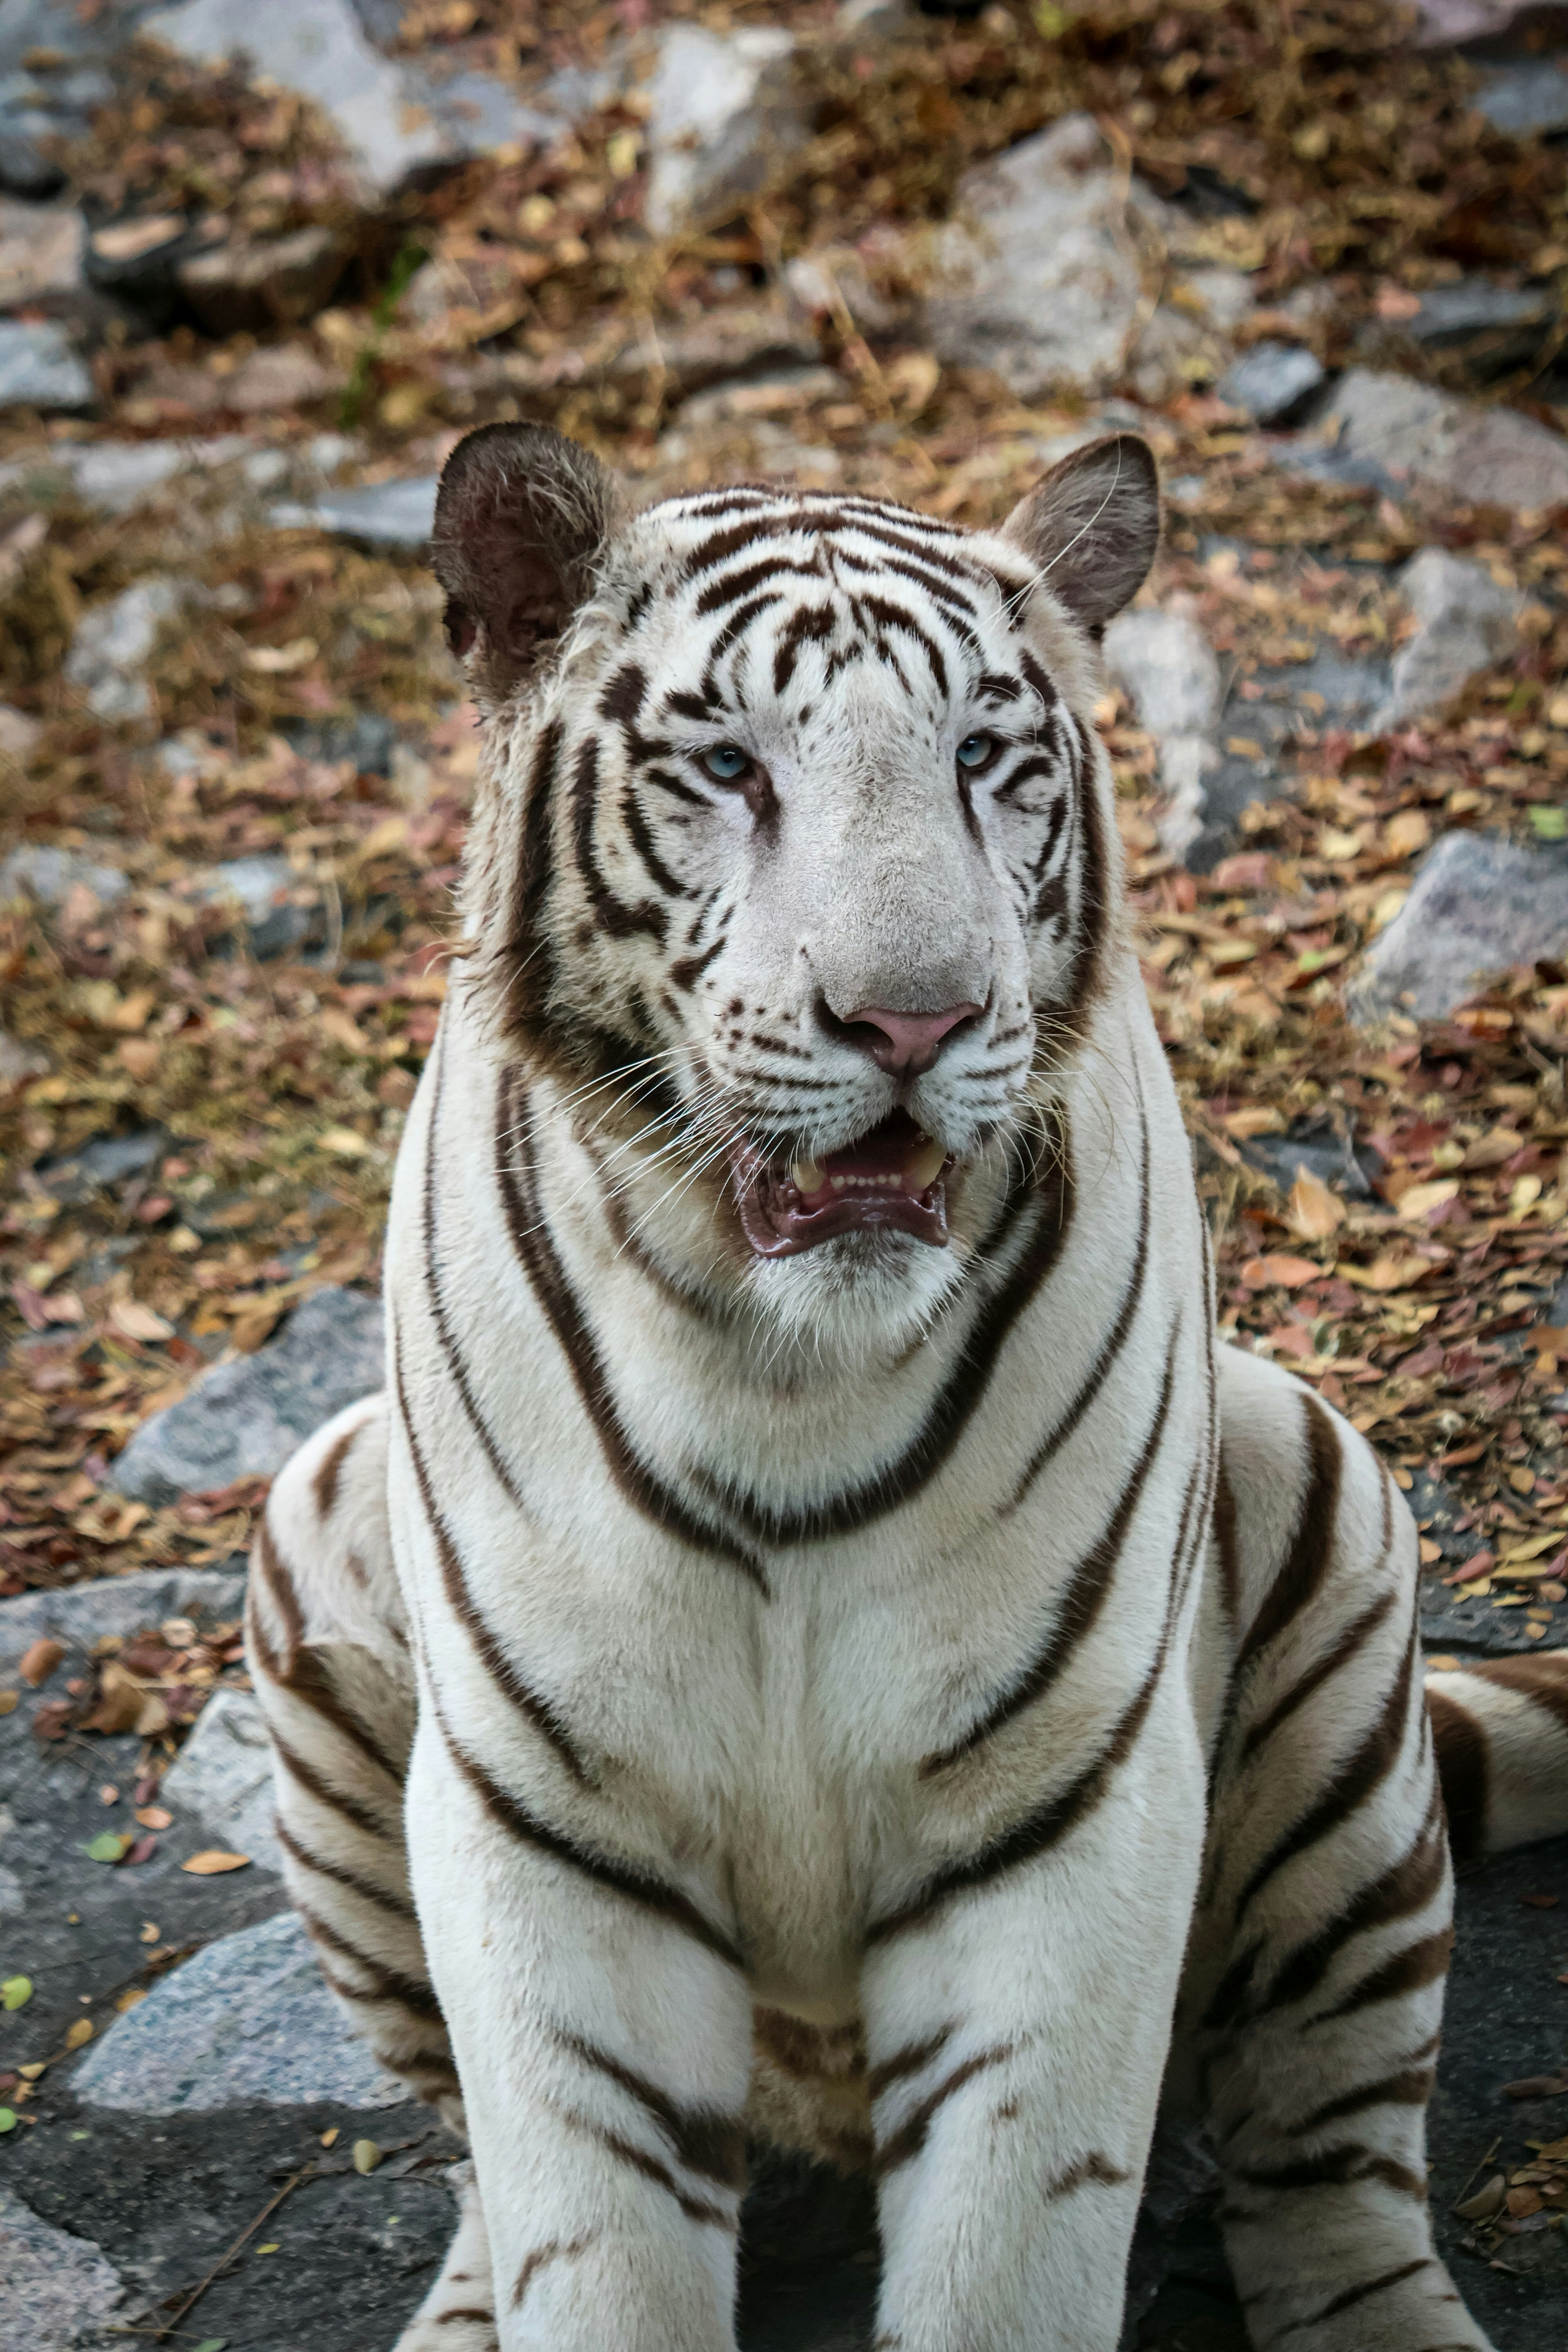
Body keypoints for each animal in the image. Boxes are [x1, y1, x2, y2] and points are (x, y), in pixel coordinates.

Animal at [245, 419, 1568, 2352]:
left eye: (984, 761)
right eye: (726, 763)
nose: (913, 1021)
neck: (776, 1359)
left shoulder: (1066, 1807)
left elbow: (1014, 2245)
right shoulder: (542, 1824)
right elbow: (587, 2228)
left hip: (1320, 1519)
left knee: (1327, 2171)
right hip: (316, 1527)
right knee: (484, 2175)